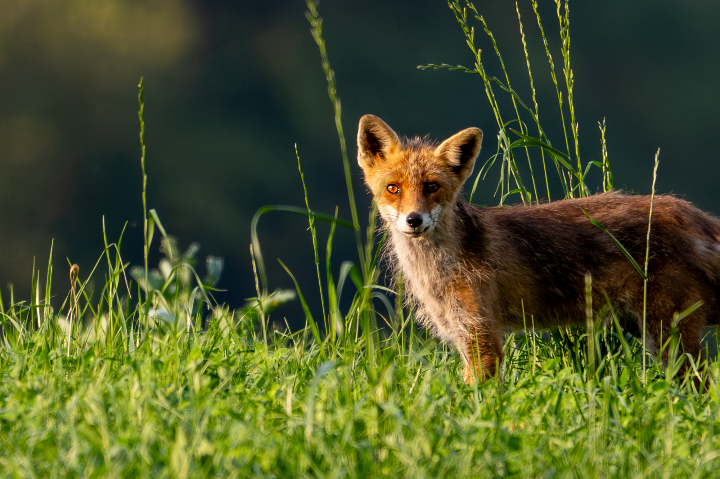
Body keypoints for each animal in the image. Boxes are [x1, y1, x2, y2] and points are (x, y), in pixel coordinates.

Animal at [357, 114, 720, 383]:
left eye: (432, 187)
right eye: (393, 188)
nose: (413, 220)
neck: (440, 268)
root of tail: (689, 211)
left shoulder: (483, 338)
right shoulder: (461, 334)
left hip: (668, 337)